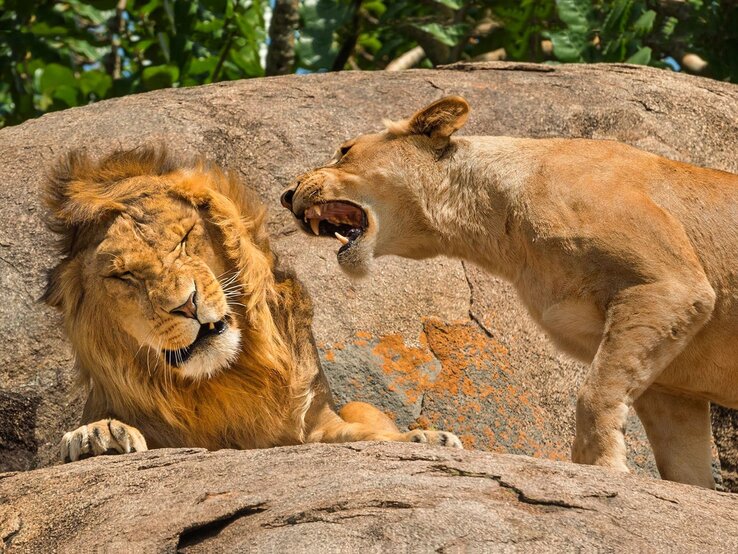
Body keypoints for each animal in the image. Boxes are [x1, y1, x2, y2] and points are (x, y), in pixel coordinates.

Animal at [41, 144, 460, 460]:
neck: (224, 378)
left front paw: (421, 438)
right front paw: (97, 436)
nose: (187, 304)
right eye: (123, 275)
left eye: (184, 239)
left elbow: (360, 435)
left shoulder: (314, 423)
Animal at [278, 96, 736, 488]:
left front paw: (602, 468)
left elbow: (596, 393)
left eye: (344, 150)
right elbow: (682, 462)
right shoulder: (671, 383)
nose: (285, 195)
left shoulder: (669, 285)